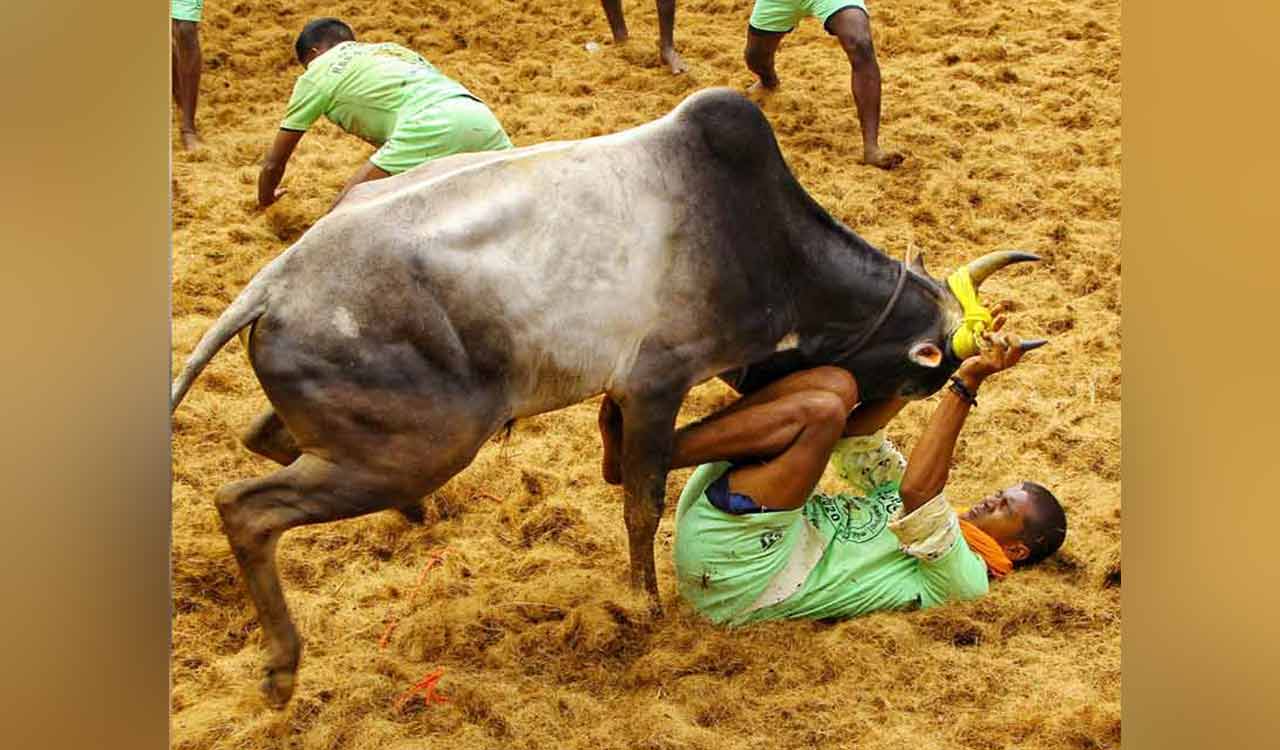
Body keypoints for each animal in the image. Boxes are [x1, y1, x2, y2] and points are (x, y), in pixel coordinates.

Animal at [170, 88, 1039, 707]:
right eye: (925, 373)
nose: (871, 413)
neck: (770, 247)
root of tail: (274, 287)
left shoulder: (633, 392)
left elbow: (627, 473)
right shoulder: (659, 380)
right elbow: (642, 500)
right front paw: (644, 606)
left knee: (262, 438)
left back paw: (401, 523)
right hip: (424, 445)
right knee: (245, 505)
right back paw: (282, 668)